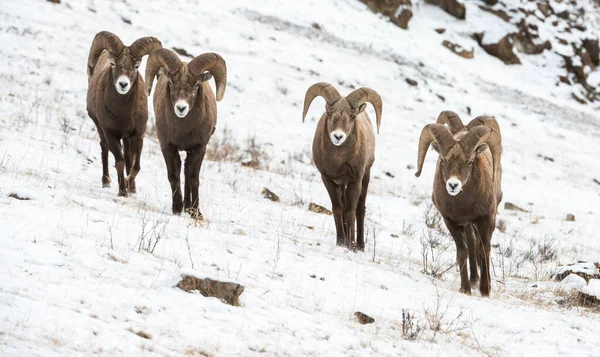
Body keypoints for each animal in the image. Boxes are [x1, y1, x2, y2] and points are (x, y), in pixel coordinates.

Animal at [86, 30, 162, 196]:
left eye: (136, 66)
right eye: (113, 64)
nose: (123, 84)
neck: (124, 114)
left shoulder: (138, 135)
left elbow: (135, 166)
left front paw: (129, 186)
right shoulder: (111, 135)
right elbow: (119, 162)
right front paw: (122, 192)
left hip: (127, 139)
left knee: (128, 156)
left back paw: (131, 187)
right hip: (101, 129)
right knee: (104, 147)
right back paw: (106, 181)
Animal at [145, 48, 227, 217]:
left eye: (196, 85)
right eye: (171, 83)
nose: (181, 108)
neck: (183, 129)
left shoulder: (199, 149)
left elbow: (193, 179)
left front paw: (196, 213)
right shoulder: (167, 147)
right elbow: (173, 176)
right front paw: (176, 209)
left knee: (188, 173)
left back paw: (188, 208)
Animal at [302, 82, 382, 250]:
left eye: (352, 117)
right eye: (329, 113)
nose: (337, 136)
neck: (338, 160)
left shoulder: (356, 180)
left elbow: (351, 211)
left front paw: (350, 245)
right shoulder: (328, 180)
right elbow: (338, 209)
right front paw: (341, 241)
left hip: (364, 178)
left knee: (360, 209)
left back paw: (359, 245)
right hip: (342, 185)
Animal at [414, 110, 500, 294]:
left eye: (469, 162)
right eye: (443, 160)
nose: (453, 185)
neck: (463, 205)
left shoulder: (486, 219)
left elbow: (485, 250)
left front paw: (485, 290)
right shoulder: (452, 222)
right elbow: (462, 252)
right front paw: (465, 288)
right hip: (467, 226)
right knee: (472, 245)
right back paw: (473, 280)